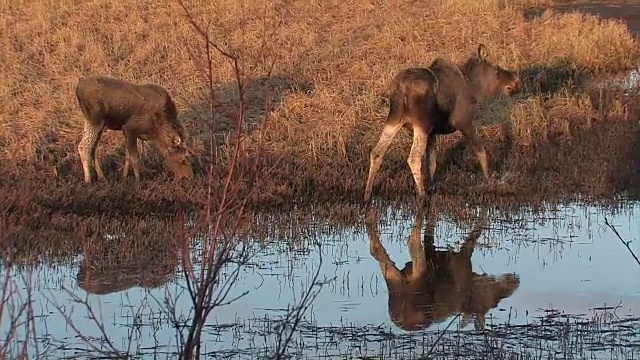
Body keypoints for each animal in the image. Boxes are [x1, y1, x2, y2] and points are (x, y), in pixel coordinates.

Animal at [364, 43, 520, 204]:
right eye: (496, 70)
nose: (515, 81)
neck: (474, 89)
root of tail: (401, 89)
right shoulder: (464, 121)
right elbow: (481, 150)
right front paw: (488, 179)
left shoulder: (433, 132)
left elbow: (431, 163)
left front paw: (432, 185)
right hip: (422, 124)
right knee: (413, 158)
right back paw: (422, 197)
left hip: (395, 119)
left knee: (376, 153)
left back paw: (367, 195)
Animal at [364, 205, 520, 332]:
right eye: (494, 303)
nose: (516, 281)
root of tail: (396, 314)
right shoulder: (462, 259)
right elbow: (477, 231)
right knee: (411, 243)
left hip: (394, 276)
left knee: (378, 251)